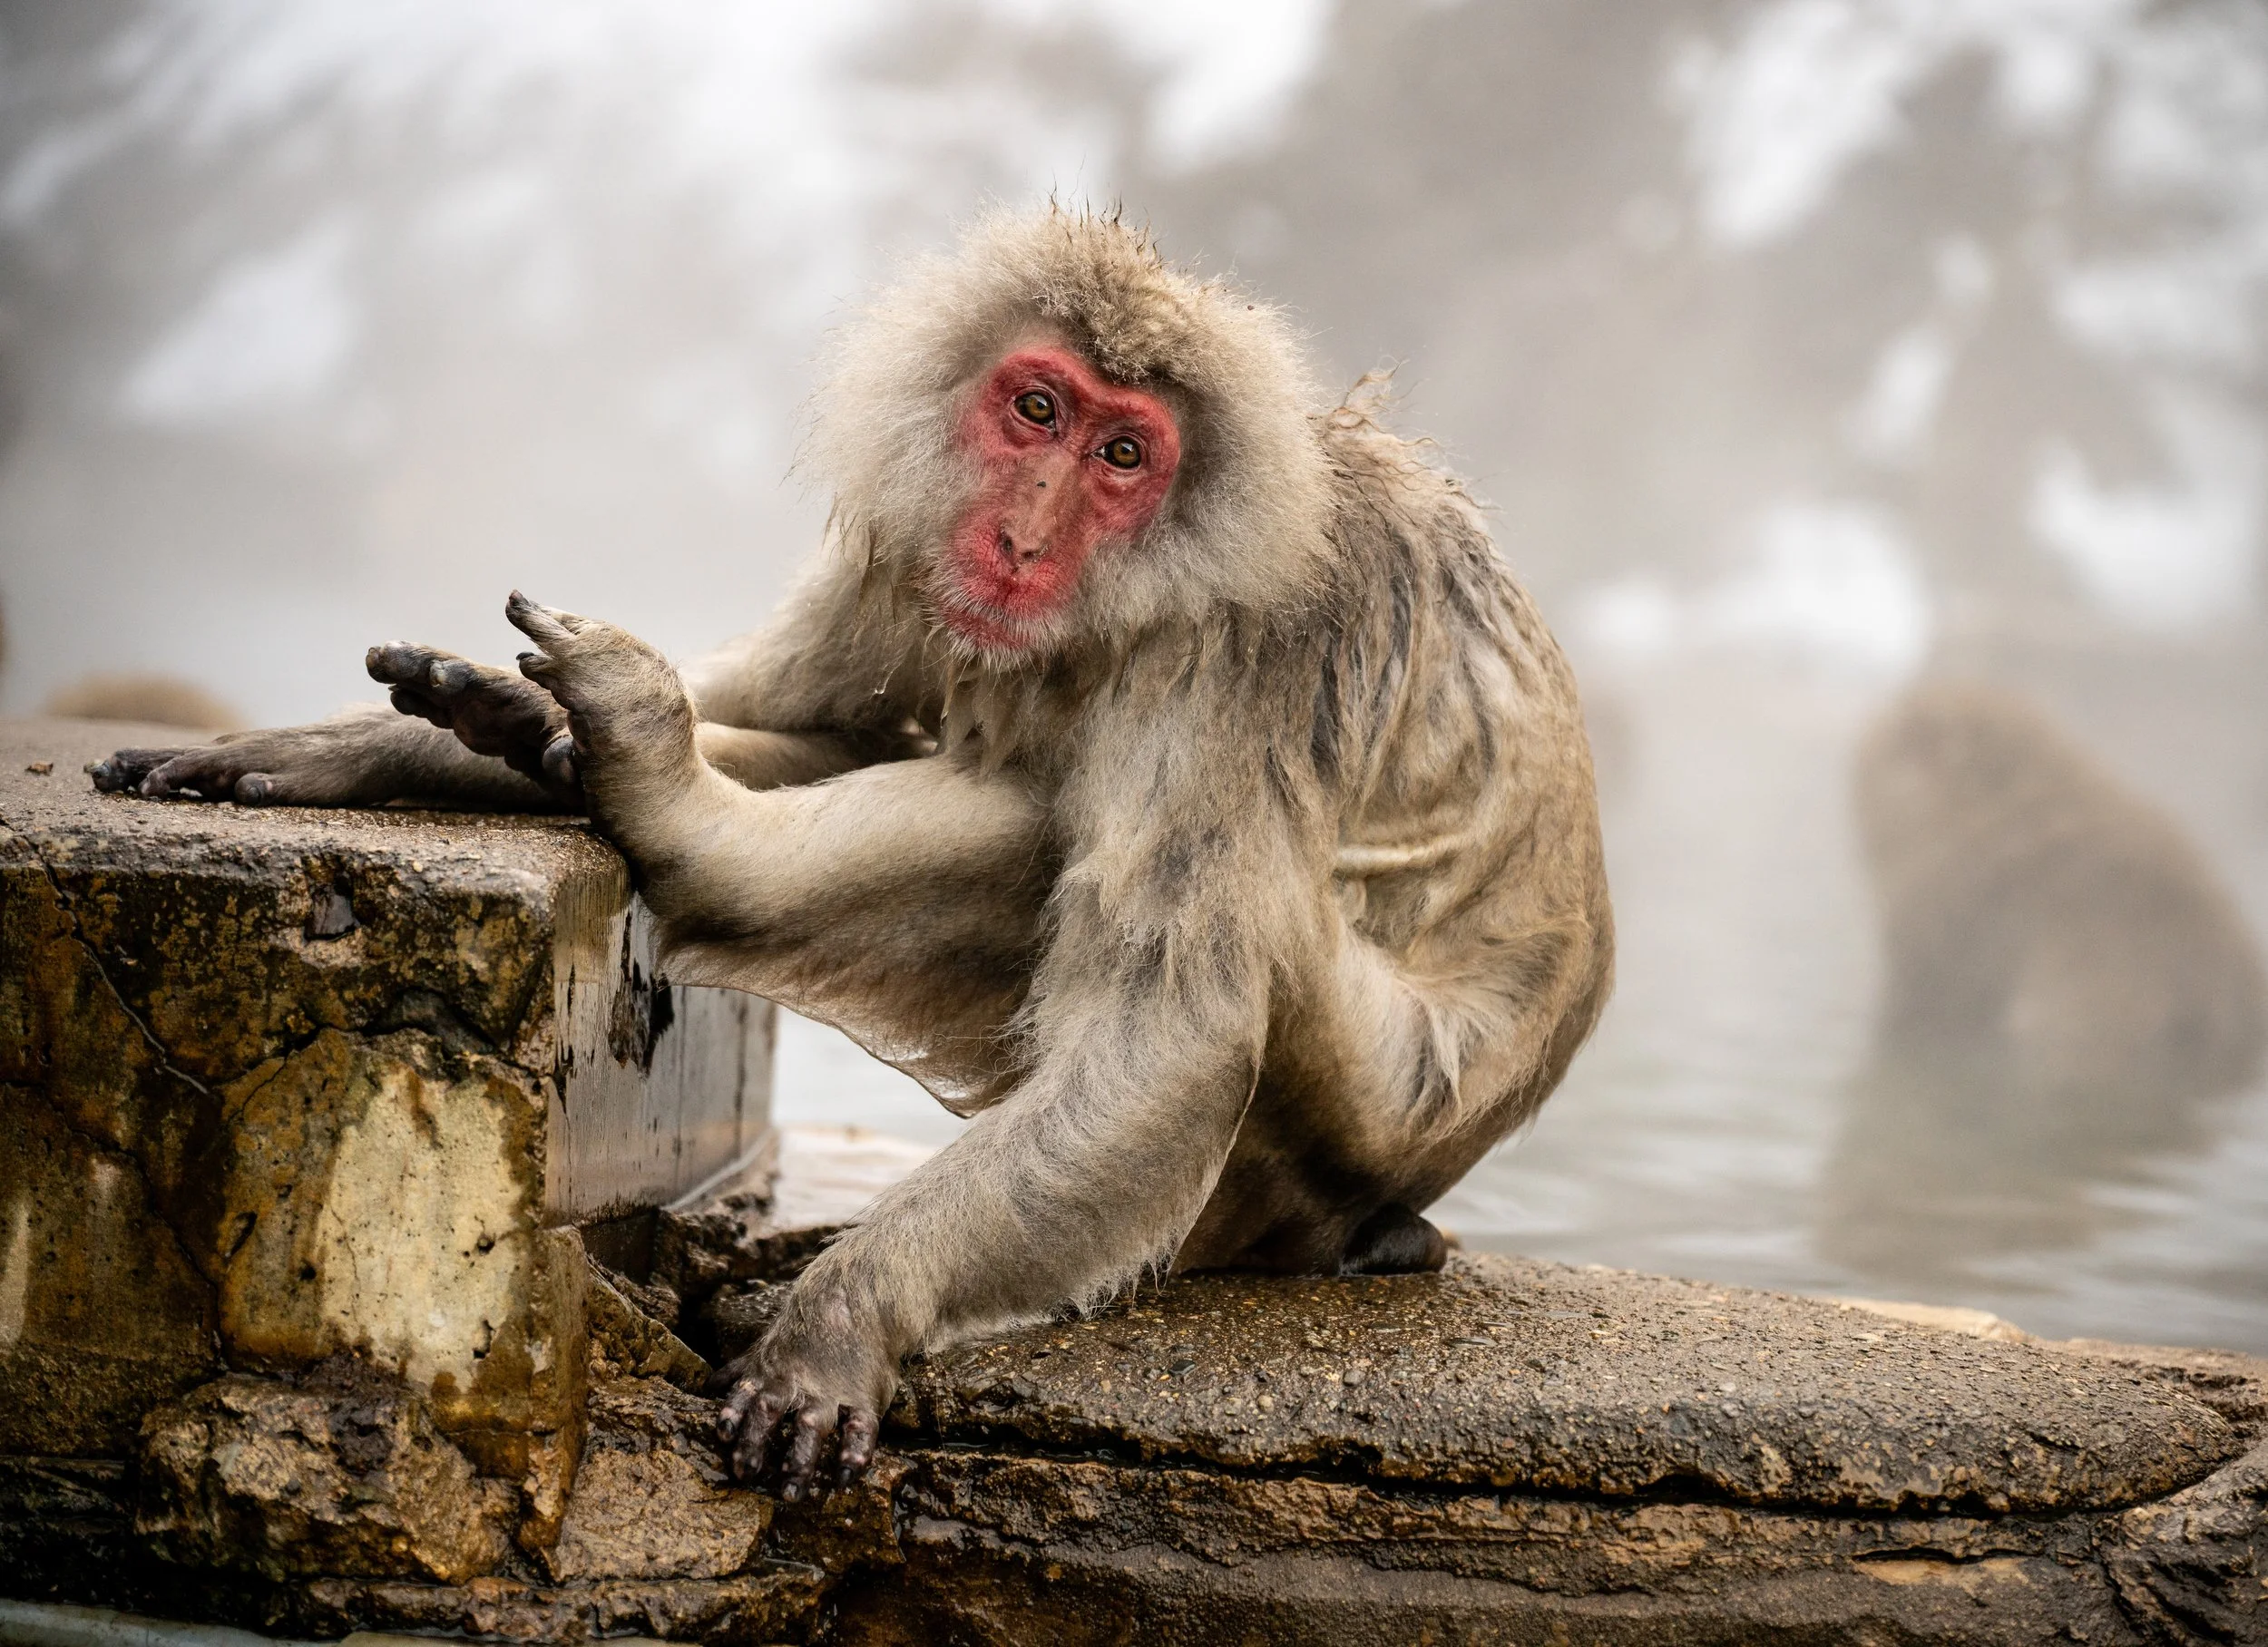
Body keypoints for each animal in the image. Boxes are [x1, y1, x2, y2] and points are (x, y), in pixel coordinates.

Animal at [93, 209, 1614, 1499]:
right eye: (1038, 408)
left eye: (1126, 458)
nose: (1024, 534)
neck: (1145, 589)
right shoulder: (912, 538)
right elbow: (818, 716)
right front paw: (383, 745)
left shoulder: (1254, 651)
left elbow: (1168, 1036)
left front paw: (844, 1317)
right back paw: (601, 764)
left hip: (1332, 1128)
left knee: (1057, 843)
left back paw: (681, 830)